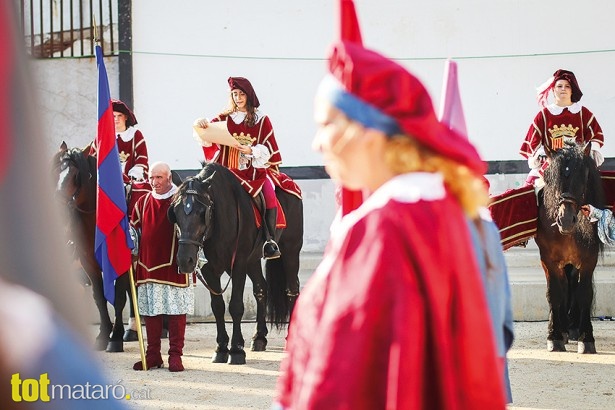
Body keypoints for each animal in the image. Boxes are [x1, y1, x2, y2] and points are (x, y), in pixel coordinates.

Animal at [53, 142, 134, 352]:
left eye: (76, 174)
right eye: (56, 171)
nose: (58, 205)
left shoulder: (120, 264)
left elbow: (119, 297)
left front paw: (115, 338)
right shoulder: (87, 261)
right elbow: (99, 297)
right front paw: (103, 335)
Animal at [170, 162, 304, 364]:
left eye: (202, 213)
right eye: (175, 212)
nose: (185, 260)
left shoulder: (238, 263)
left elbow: (235, 306)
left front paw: (236, 349)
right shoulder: (209, 269)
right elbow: (218, 306)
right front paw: (221, 347)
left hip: (290, 251)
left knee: (292, 290)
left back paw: (291, 337)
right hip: (253, 260)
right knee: (261, 289)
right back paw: (259, 337)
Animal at [540, 141, 608, 352]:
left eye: (583, 175)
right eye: (550, 176)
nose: (565, 220)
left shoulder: (588, 260)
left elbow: (584, 293)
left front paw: (586, 338)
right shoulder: (549, 260)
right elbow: (554, 293)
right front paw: (554, 337)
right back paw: (561, 329)